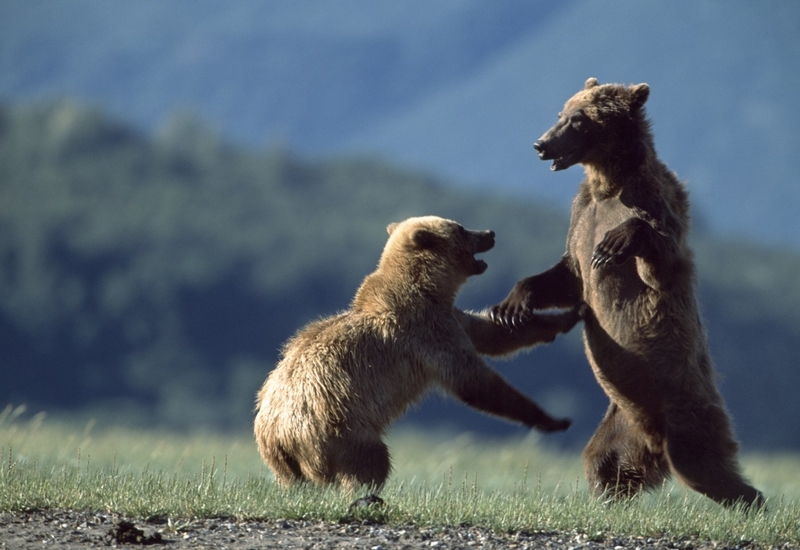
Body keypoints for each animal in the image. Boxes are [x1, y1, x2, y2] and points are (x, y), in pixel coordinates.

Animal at [256, 216, 580, 492]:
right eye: (461, 228)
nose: (490, 232)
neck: (425, 289)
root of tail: (277, 435)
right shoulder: (426, 333)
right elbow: (474, 381)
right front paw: (552, 420)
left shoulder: (448, 317)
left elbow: (489, 334)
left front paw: (567, 316)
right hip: (338, 428)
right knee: (370, 460)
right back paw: (364, 493)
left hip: (282, 458)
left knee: (294, 480)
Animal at [494, 80, 764, 512]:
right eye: (561, 114)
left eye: (578, 119)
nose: (540, 144)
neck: (608, 183)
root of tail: (654, 439)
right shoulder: (581, 215)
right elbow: (568, 274)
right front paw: (512, 304)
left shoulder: (654, 198)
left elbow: (658, 253)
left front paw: (615, 243)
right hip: (622, 420)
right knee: (603, 460)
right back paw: (608, 499)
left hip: (684, 408)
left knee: (704, 466)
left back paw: (753, 502)